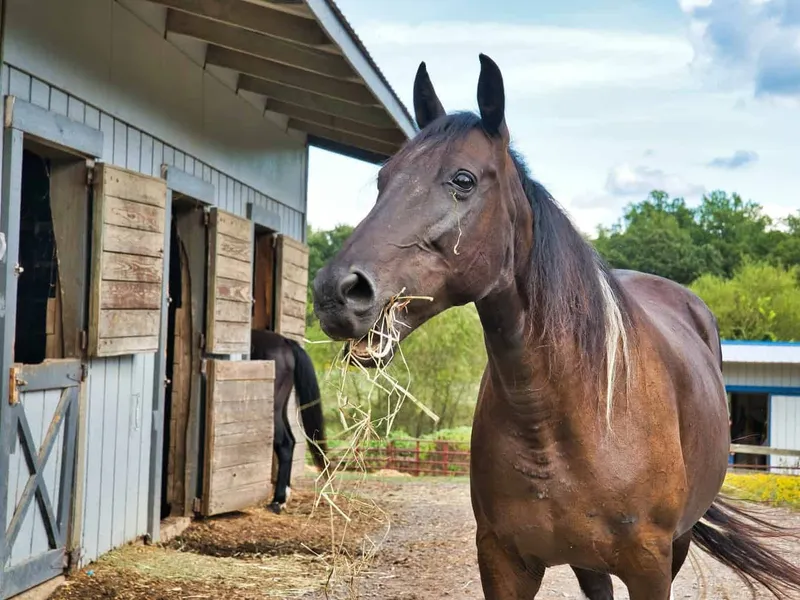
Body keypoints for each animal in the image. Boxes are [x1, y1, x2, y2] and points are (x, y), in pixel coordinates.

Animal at [250, 329, 328, 514]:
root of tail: (285, 342)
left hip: (273, 408)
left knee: (284, 444)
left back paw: (278, 501)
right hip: (282, 407)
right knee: (291, 441)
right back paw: (284, 496)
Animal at [310, 54, 800, 599]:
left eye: (463, 180)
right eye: (384, 179)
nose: (337, 291)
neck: (559, 421)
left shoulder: (650, 567)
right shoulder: (503, 562)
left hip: (677, 542)